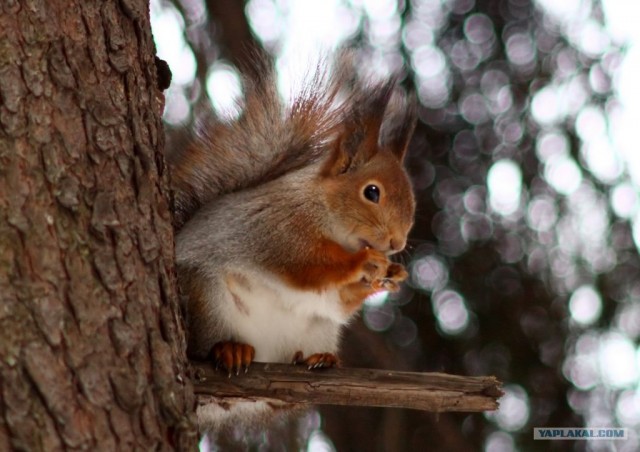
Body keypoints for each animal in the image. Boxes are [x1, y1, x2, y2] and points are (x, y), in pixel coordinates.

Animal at [170, 61, 418, 430]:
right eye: (371, 192)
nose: (396, 242)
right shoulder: (280, 230)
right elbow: (305, 268)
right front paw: (362, 263)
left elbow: (336, 301)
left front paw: (392, 275)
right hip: (206, 297)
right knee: (207, 346)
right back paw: (230, 349)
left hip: (319, 328)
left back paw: (318, 358)